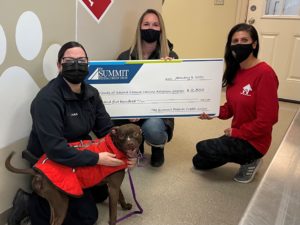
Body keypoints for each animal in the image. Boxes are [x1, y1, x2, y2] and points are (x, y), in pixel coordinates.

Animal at [5, 124, 143, 225]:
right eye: (122, 136)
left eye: (136, 134)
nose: (130, 144)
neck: (113, 147)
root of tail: (37, 172)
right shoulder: (113, 188)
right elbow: (113, 211)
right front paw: (114, 221)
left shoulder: (115, 184)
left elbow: (121, 196)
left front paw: (125, 206)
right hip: (61, 202)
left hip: (53, 202)